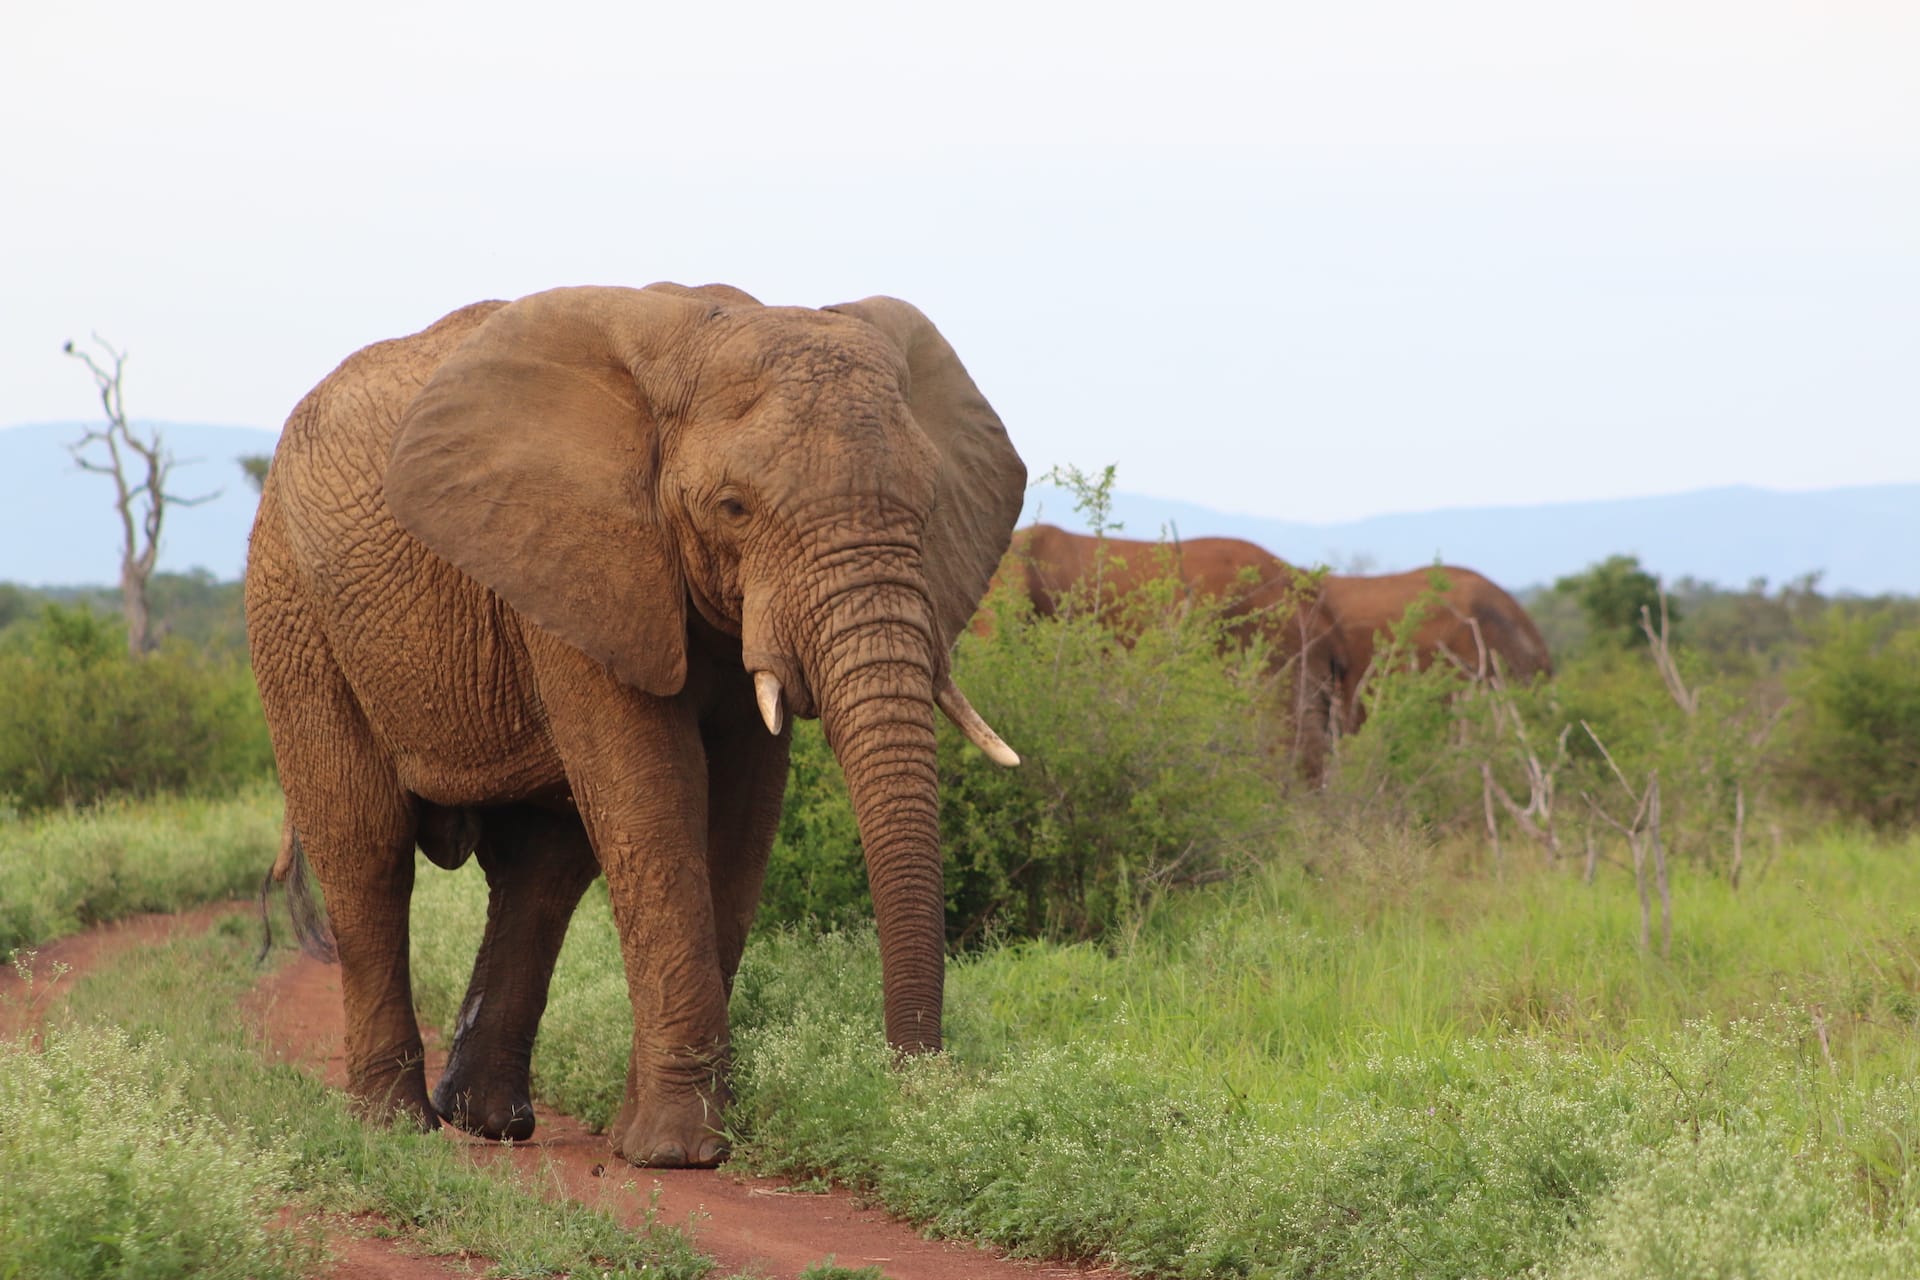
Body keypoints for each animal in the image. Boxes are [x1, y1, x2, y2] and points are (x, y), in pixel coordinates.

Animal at [245, 282, 1029, 1174]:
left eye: (930, 509)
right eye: (734, 507)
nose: (911, 1096)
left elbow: (742, 814)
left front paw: (679, 1139)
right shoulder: (580, 552)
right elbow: (654, 796)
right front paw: (677, 1153)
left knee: (544, 868)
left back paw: (487, 1120)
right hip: (292, 605)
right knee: (366, 845)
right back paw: (394, 1127)